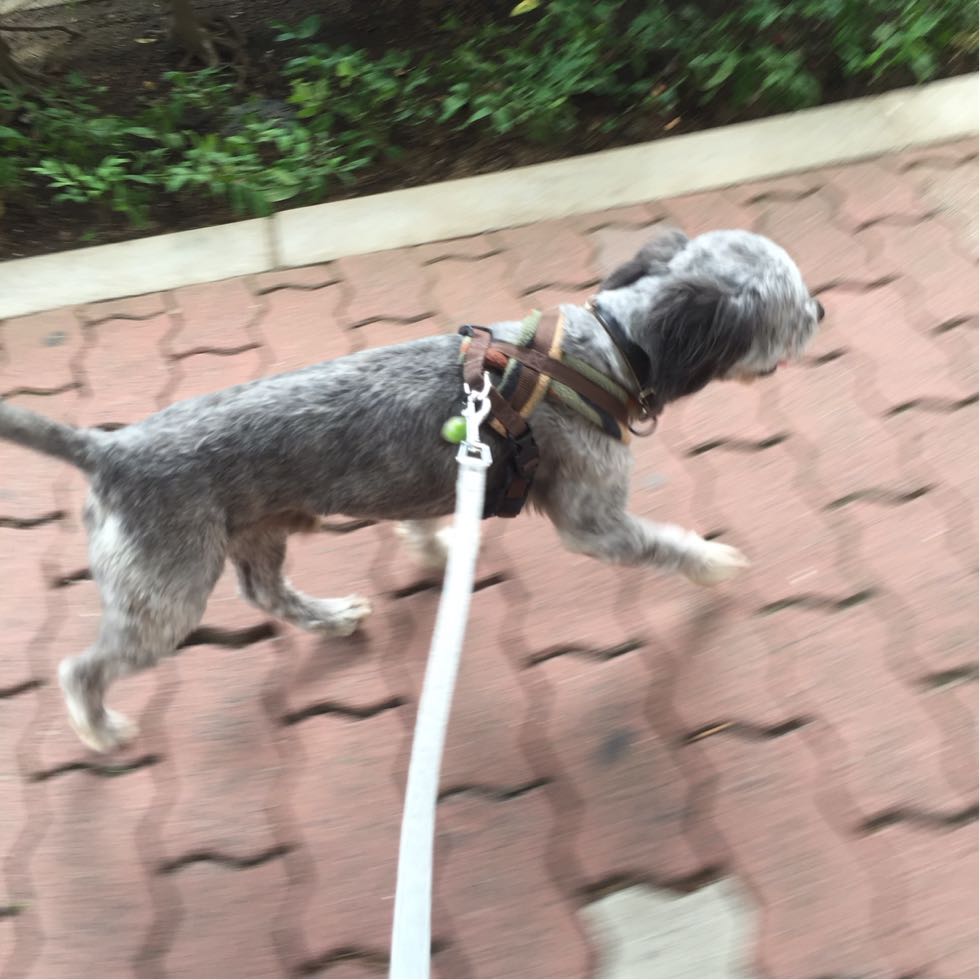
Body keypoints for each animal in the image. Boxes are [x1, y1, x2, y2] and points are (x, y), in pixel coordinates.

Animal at [0, 228, 823, 752]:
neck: (600, 355)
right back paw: (100, 730)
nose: (823, 310)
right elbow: (664, 543)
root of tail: (109, 448)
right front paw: (712, 563)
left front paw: (436, 550)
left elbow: (424, 525)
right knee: (82, 668)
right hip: (165, 597)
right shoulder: (594, 521)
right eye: (793, 305)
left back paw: (331, 618)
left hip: (259, 533)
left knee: (266, 593)